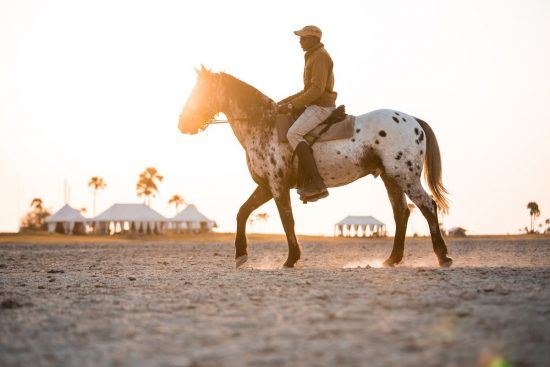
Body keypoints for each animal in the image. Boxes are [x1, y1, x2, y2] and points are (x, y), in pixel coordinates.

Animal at [179, 66, 454, 268]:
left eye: (200, 92)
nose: (182, 124)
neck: (263, 125)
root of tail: (413, 120)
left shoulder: (278, 187)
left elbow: (287, 221)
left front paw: (291, 259)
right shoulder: (266, 187)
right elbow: (242, 212)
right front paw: (240, 255)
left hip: (405, 177)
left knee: (428, 206)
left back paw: (443, 257)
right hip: (391, 179)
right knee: (402, 214)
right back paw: (392, 259)